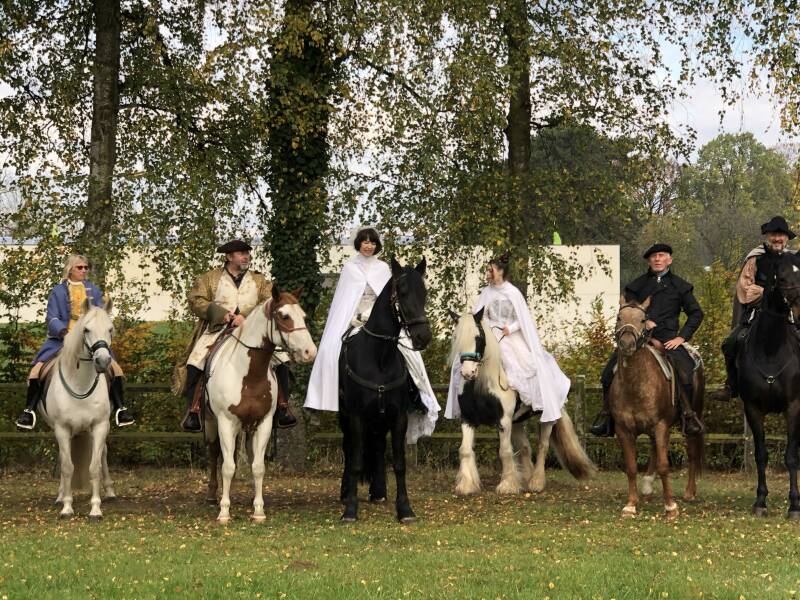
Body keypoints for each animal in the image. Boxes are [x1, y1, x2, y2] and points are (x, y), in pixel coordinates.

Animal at [38, 298, 117, 520]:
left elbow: (94, 467)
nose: (103, 361)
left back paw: (110, 492)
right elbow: (67, 467)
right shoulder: (62, 429)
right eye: (86, 330)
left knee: (104, 454)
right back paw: (60, 495)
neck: (81, 383)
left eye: (110, 329)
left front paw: (96, 509)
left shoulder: (99, 426)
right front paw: (66, 506)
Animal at [203, 286, 317, 523]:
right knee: (215, 453)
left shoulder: (263, 423)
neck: (248, 375)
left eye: (303, 316)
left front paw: (258, 510)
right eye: (284, 316)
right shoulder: (226, 422)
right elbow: (227, 466)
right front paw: (224, 511)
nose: (310, 352)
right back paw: (212, 495)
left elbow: (258, 467)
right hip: (211, 423)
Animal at [338, 256, 431, 523]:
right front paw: (350, 510)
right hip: (346, 417)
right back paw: (346, 492)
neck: (379, 357)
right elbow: (356, 461)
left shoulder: (398, 417)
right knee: (349, 449)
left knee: (378, 447)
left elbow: (399, 463)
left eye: (425, 292)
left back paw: (378, 491)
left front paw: (405, 509)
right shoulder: (356, 416)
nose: (423, 337)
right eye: (402, 291)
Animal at [447, 309, 595, 496]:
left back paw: (536, 482)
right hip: (517, 421)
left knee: (543, 446)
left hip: (548, 419)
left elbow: (504, 451)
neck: (483, 387)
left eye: (478, 337)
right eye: (456, 338)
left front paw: (507, 485)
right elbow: (465, 450)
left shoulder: (503, 421)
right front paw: (467, 485)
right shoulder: (468, 420)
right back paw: (526, 478)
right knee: (525, 447)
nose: (468, 373)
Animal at [610, 296, 705, 519]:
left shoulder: (661, 425)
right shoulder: (624, 430)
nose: (627, 344)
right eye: (619, 317)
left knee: (692, 453)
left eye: (643, 319)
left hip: (691, 419)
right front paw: (631, 505)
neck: (635, 384)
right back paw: (647, 487)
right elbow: (631, 467)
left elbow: (664, 465)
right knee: (654, 448)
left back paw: (689, 492)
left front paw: (670, 507)